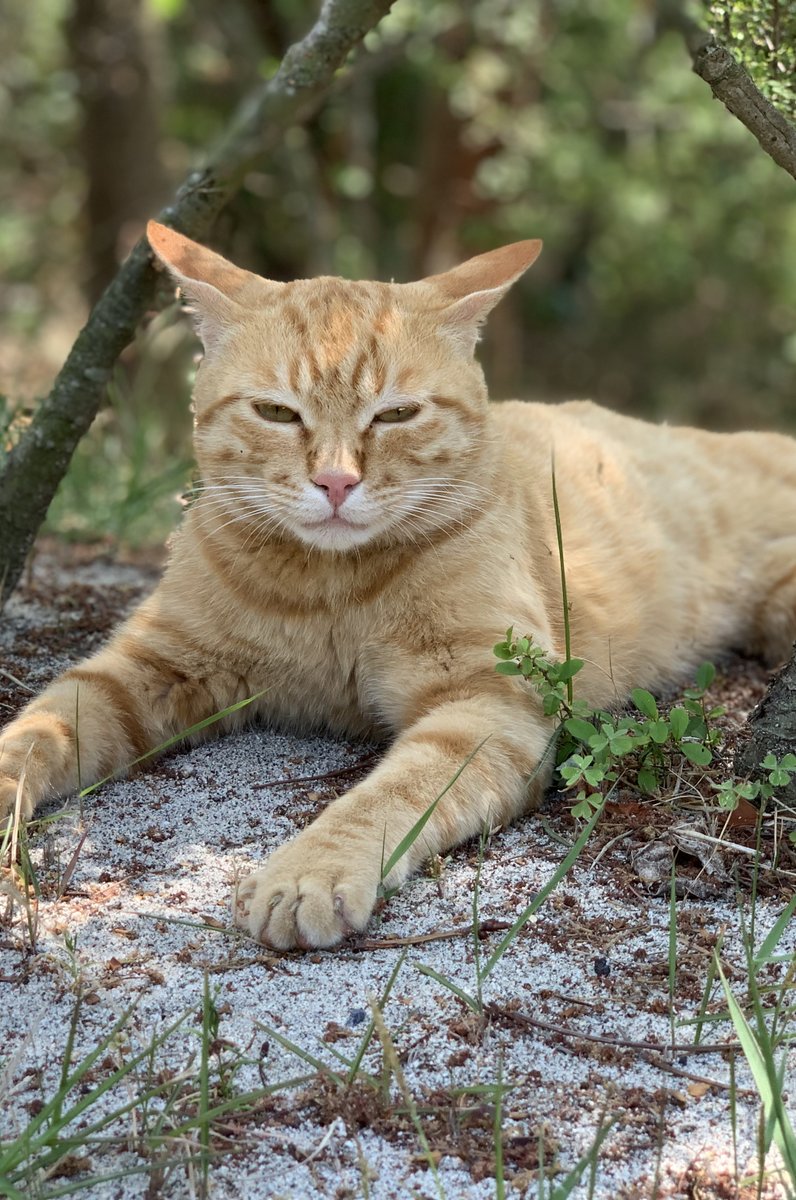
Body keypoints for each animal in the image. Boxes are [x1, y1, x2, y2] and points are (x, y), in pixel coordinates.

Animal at [1, 226, 796, 945]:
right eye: (276, 412)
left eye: (397, 414)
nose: (335, 482)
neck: (327, 590)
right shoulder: (149, 663)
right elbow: (43, 726)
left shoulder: (486, 704)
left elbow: (390, 794)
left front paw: (309, 872)